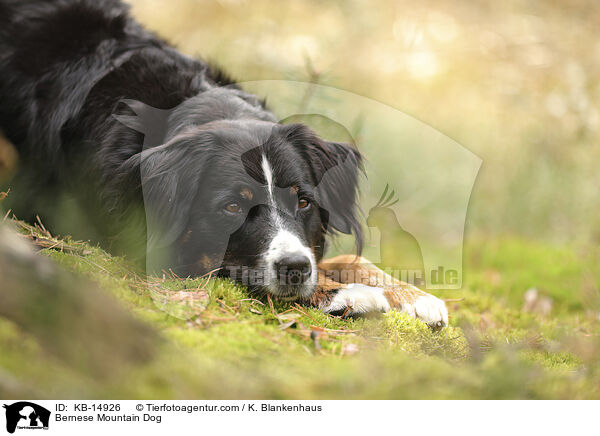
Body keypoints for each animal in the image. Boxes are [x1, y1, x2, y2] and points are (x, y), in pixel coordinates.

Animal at [0, 0, 446, 326]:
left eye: (303, 202)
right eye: (232, 207)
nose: (296, 268)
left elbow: (350, 257)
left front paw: (415, 296)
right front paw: (347, 293)